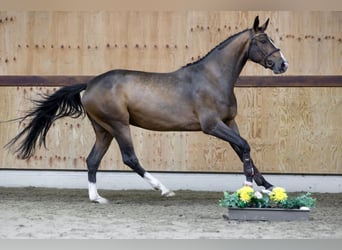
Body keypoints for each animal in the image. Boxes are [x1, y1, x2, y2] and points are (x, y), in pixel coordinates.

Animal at [6, 16, 288, 203]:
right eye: (263, 40)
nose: (282, 64)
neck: (213, 78)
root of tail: (90, 84)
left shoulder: (229, 122)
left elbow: (243, 150)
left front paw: (268, 187)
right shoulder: (212, 126)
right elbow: (244, 147)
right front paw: (251, 187)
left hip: (103, 129)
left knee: (92, 160)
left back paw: (97, 198)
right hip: (118, 125)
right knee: (129, 158)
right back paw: (163, 188)